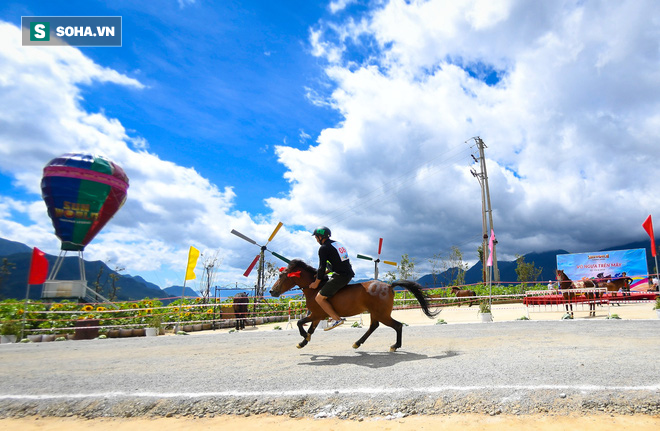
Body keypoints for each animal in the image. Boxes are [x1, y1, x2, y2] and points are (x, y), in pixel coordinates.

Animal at [268, 258, 438, 352]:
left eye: (282, 276)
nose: (271, 291)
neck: (314, 288)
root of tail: (389, 286)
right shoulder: (317, 316)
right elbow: (310, 328)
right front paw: (303, 342)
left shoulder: (317, 314)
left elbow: (299, 322)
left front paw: (304, 337)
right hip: (375, 313)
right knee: (374, 326)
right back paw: (357, 343)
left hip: (382, 314)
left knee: (397, 325)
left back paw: (394, 346)